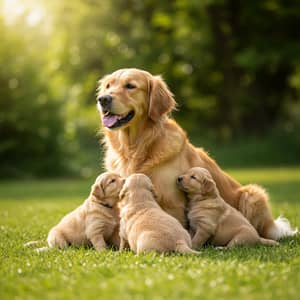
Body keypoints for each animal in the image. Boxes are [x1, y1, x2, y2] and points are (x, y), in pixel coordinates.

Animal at [97, 67, 296, 239]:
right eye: (108, 86)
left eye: (130, 86)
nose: (102, 99)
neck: (136, 147)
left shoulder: (173, 203)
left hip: (253, 194)